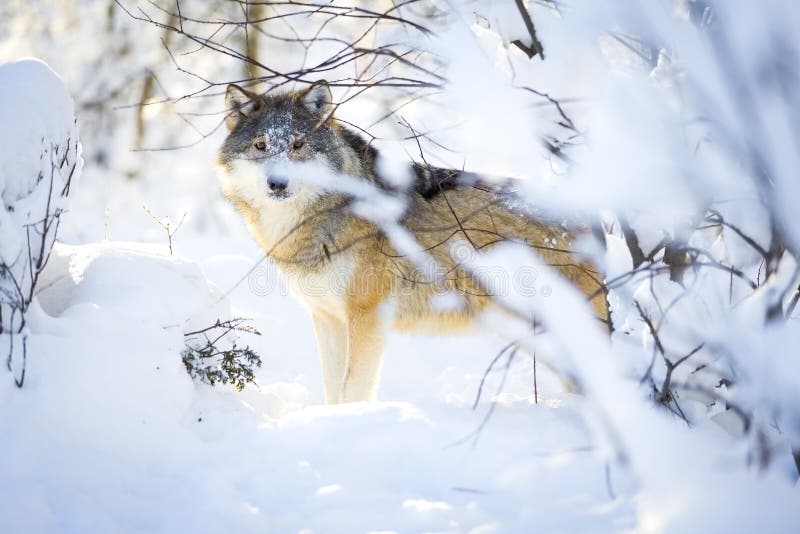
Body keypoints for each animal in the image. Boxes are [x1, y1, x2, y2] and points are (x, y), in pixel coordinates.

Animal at [216, 81, 604, 404]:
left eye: (298, 145)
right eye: (261, 146)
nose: (277, 184)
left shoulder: (367, 317)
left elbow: (352, 389)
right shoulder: (327, 317)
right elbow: (332, 388)